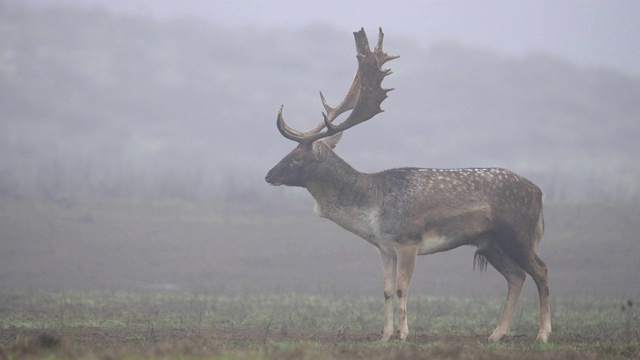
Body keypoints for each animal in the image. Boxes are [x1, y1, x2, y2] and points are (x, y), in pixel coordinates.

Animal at [264, 27, 552, 344]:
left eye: (296, 158)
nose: (268, 175)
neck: (371, 213)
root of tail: (539, 193)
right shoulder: (384, 248)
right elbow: (387, 290)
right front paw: (384, 336)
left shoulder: (408, 241)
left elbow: (403, 288)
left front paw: (403, 334)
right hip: (490, 242)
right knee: (516, 276)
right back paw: (496, 334)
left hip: (518, 233)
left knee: (541, 270)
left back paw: (543, 334)